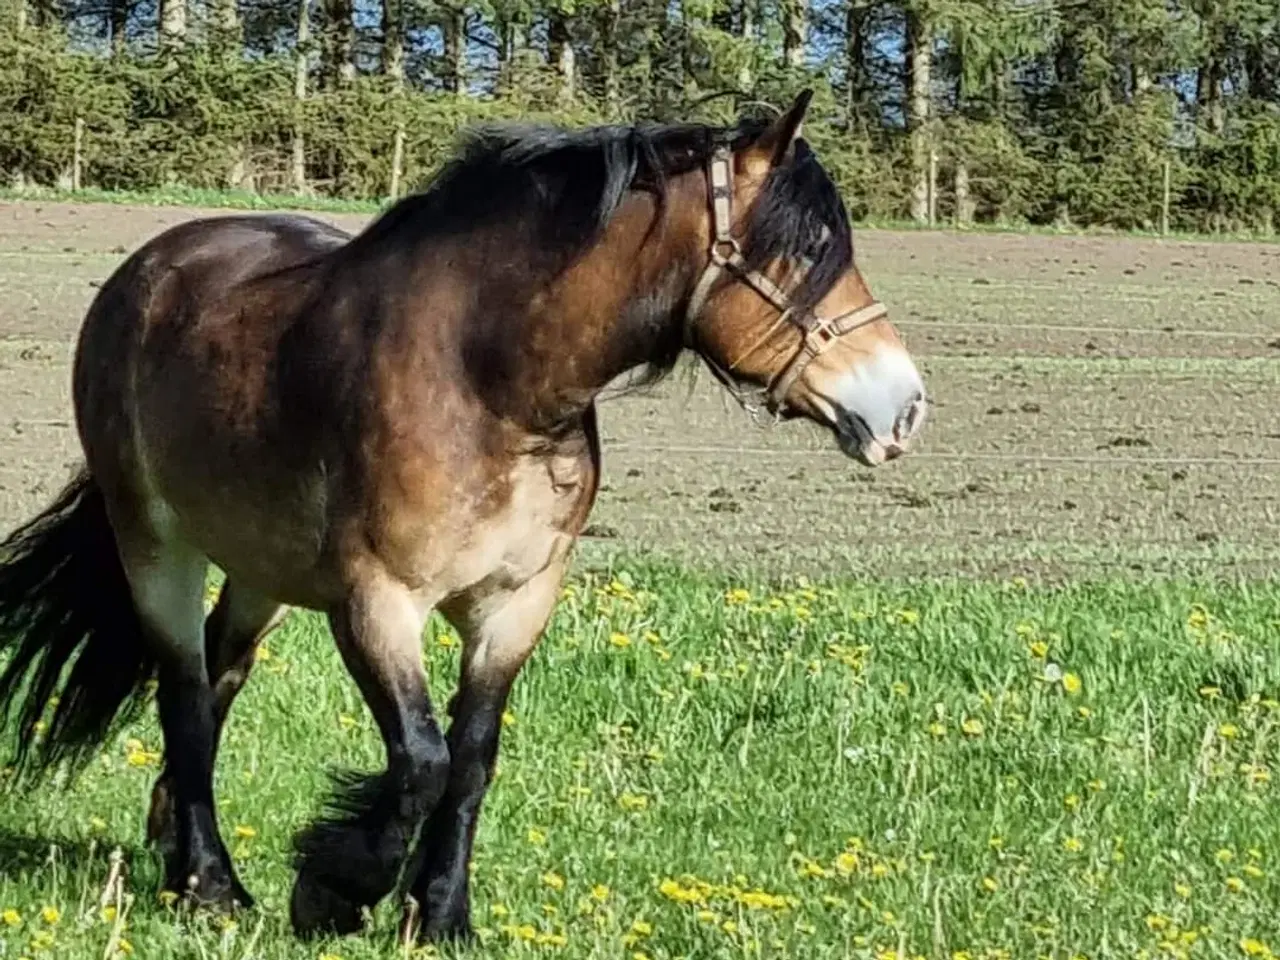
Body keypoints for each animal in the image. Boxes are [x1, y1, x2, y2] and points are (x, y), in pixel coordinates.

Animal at [0, 90, 921, 947]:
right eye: (805, 251)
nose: (904, 406)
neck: (488, 380)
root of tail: (149, 271)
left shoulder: (516, 604)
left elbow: (472, 758)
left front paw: (440, 916)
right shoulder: (376, 603)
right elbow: (420, 760)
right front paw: (333, 888)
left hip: (263, 568)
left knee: (221, 677)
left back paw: (173, 849)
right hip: (157, 544)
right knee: (186, 692)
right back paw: (211, 886)